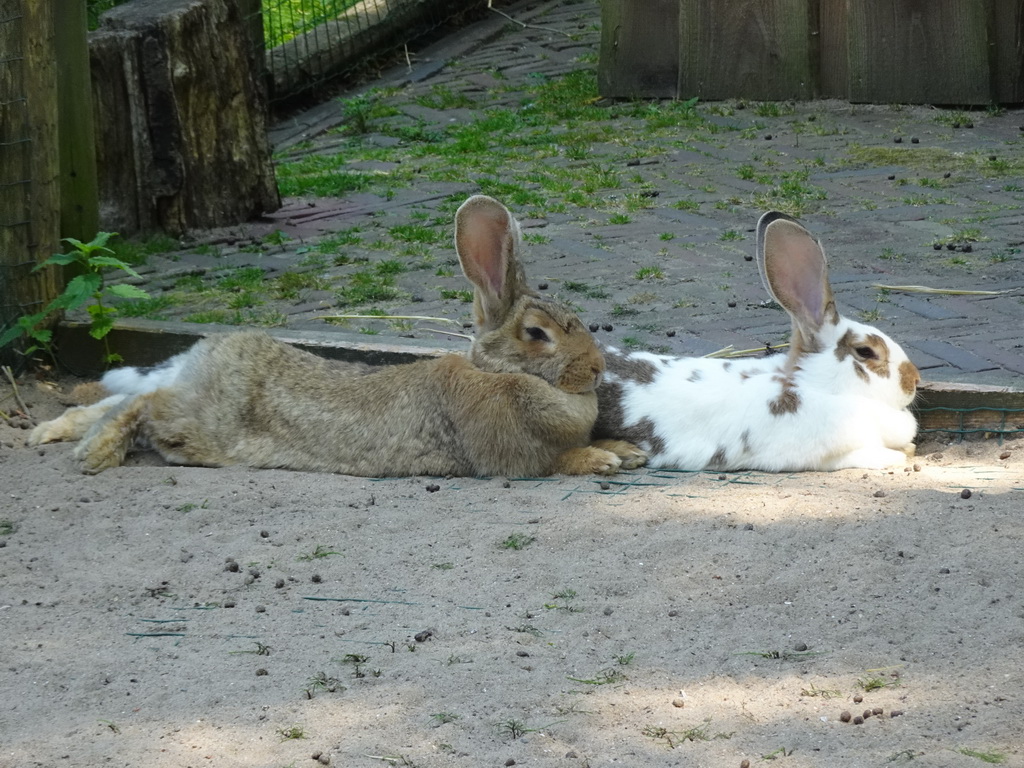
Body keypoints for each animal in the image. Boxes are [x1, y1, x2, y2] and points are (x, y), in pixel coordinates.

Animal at [34, 195, 647, 479]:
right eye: (538, 334)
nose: (596, 368)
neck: (498, 373)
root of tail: (204, 356)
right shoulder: (510, 456)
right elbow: (553, 461)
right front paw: (603, 459)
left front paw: (627, 451)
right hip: (196, 423)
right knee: (143, 406)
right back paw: (94, 453)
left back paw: (53, 433)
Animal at [593, 214, 921, 473]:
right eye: (866, 351)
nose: (914, 379)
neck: (812, 384)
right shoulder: (828, 452)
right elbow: (869, 455)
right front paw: (901, 455)